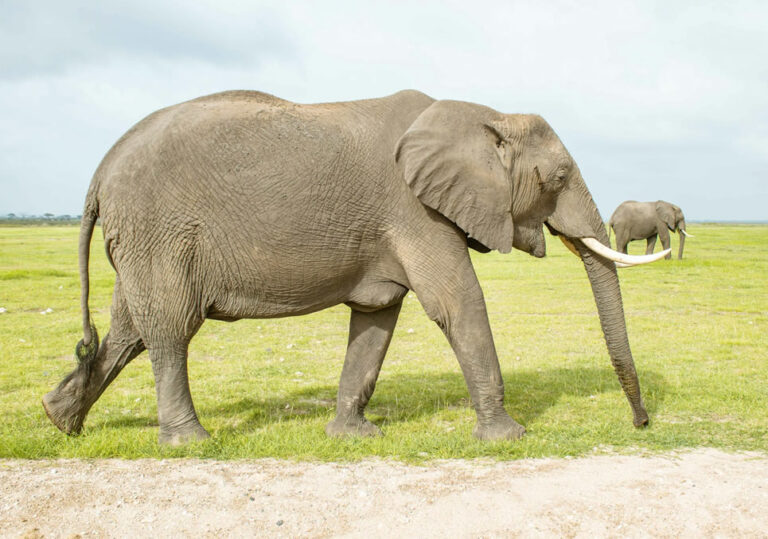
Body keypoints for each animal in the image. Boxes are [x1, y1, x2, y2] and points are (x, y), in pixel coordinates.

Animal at [42, 89, 664, 448]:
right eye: (557, 178)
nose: (641, 424)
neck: (484, 116)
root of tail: (98, 173)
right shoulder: (412, 209)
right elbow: (458, 302)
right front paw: (508, 439)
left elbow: (376, 317)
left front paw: (353, 436)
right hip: (161, 234)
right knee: (170, 331)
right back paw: (191, 443)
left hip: (142, 240)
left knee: (130, 330)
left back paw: (59, 421)